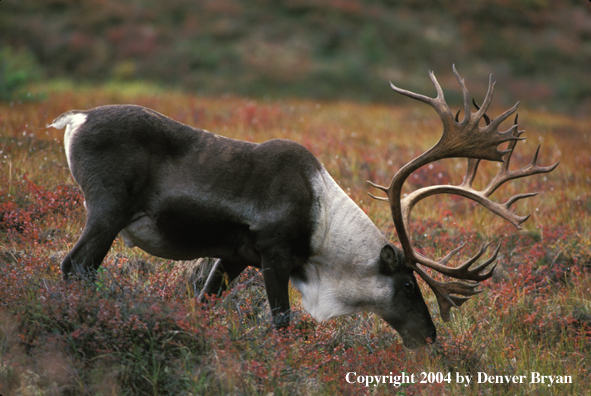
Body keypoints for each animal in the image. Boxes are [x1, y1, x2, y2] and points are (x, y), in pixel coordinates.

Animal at [48, 67, 556, 346]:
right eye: (410, 286)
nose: (429, 336)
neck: (324, 230)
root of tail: (75, 118)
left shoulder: (234, 256)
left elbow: (203, 299)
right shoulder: (274, 253)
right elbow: (282, 321)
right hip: (107, 210)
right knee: (75, 265)